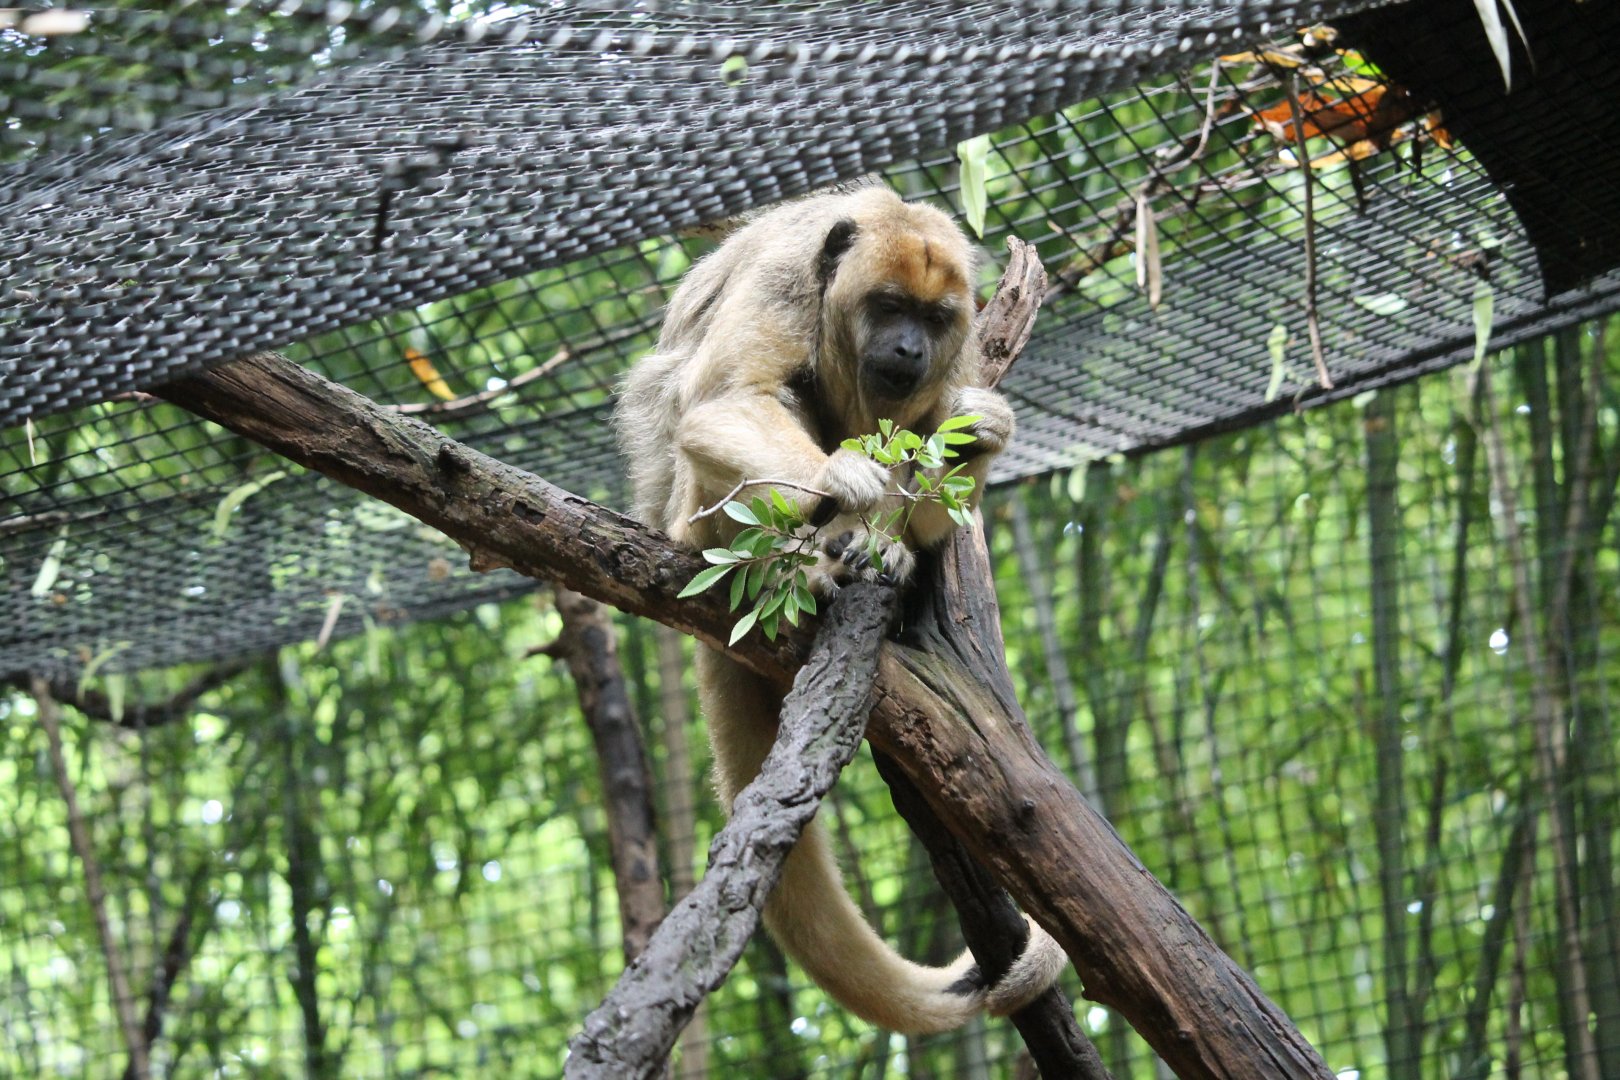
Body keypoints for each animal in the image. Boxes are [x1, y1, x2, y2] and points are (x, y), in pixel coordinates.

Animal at [615, 181, 1067, 1034]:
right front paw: (846, 481)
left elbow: (943, 455)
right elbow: (724, 404)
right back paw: (807, 561)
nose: (908, 350)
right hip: (692, 525)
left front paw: (972, 446)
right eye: (887, 306)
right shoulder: (783, 281)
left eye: (932, 318)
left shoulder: (960, 355)